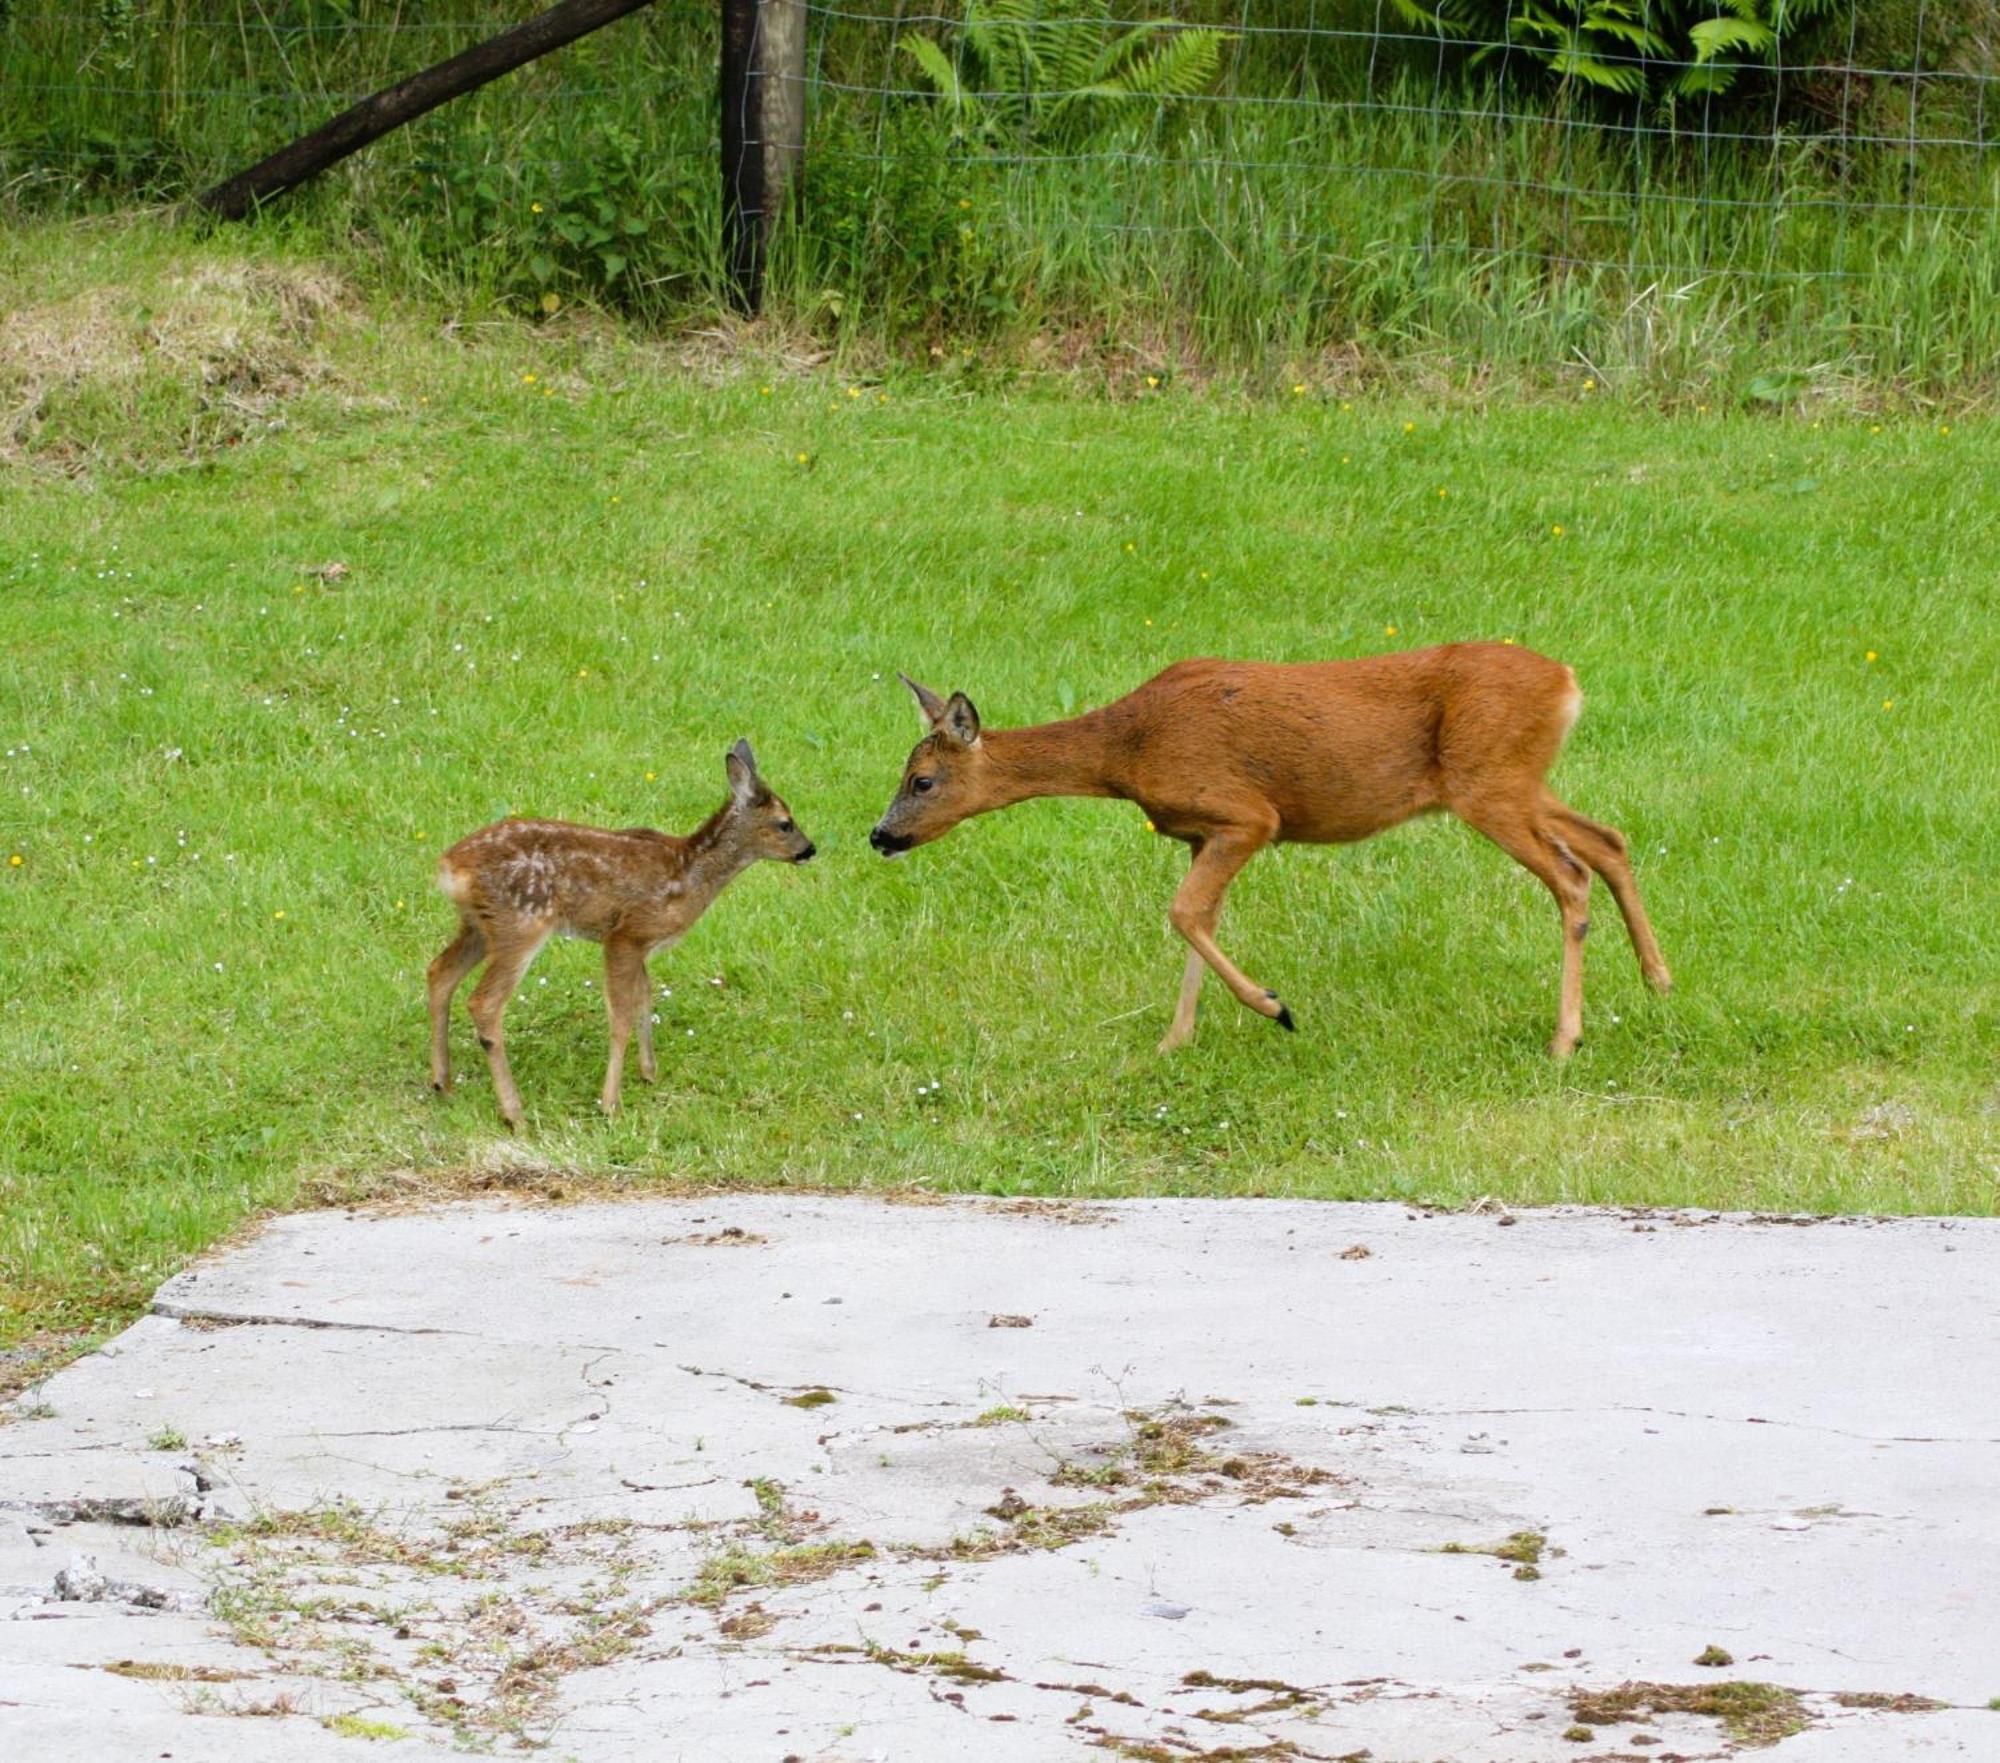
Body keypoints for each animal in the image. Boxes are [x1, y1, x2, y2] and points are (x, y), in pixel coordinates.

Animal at [430, 739, 812, 1127]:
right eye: (785, 823)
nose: (810, 849)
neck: (689, 875)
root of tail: (450, 867)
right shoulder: (625, 934)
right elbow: (621, 1015)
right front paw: (610, 1103)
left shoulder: (643, 944)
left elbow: (645, 997)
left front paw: (648, 1073)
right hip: (521, 924)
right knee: (484, 1002)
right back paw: (514, 1113)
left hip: (479, 925)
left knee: (439, 971)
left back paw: (443, 1083)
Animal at [876, 647, 1672, 1055]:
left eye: (922, 779)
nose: (879, 835)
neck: (1128, 750)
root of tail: (1567, 681)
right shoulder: (1201, 833)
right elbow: (1200, 920)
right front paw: (1175, 1042)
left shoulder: (1246, 815)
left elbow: (1184, 913)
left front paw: (1274, 1007)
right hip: (1518, 780)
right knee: (1609, 839)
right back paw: (1658, 979)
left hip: (1491, 780)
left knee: (1571, 874)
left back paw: (1566, 1038)